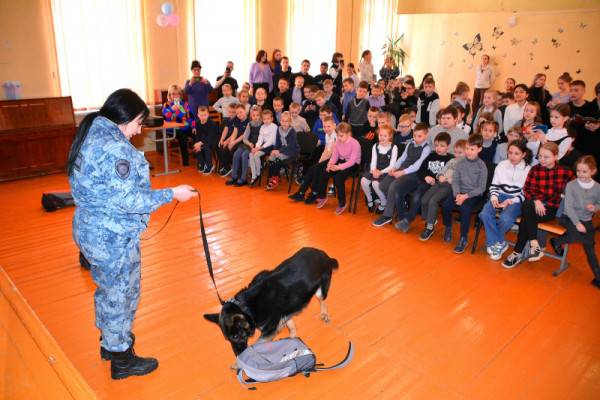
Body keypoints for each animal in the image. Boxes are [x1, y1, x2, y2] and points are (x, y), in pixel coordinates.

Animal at [204, 247, 338, 356]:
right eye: (228, 339)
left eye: (236, 336)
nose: (238, 355)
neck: (246, 307)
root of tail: (325, 256)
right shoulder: (283, 315)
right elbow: (291, 326)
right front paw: (292, 338)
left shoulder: (269, 331)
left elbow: (255, 345)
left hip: (320, 291)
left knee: (323, 301)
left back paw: (324, 313)